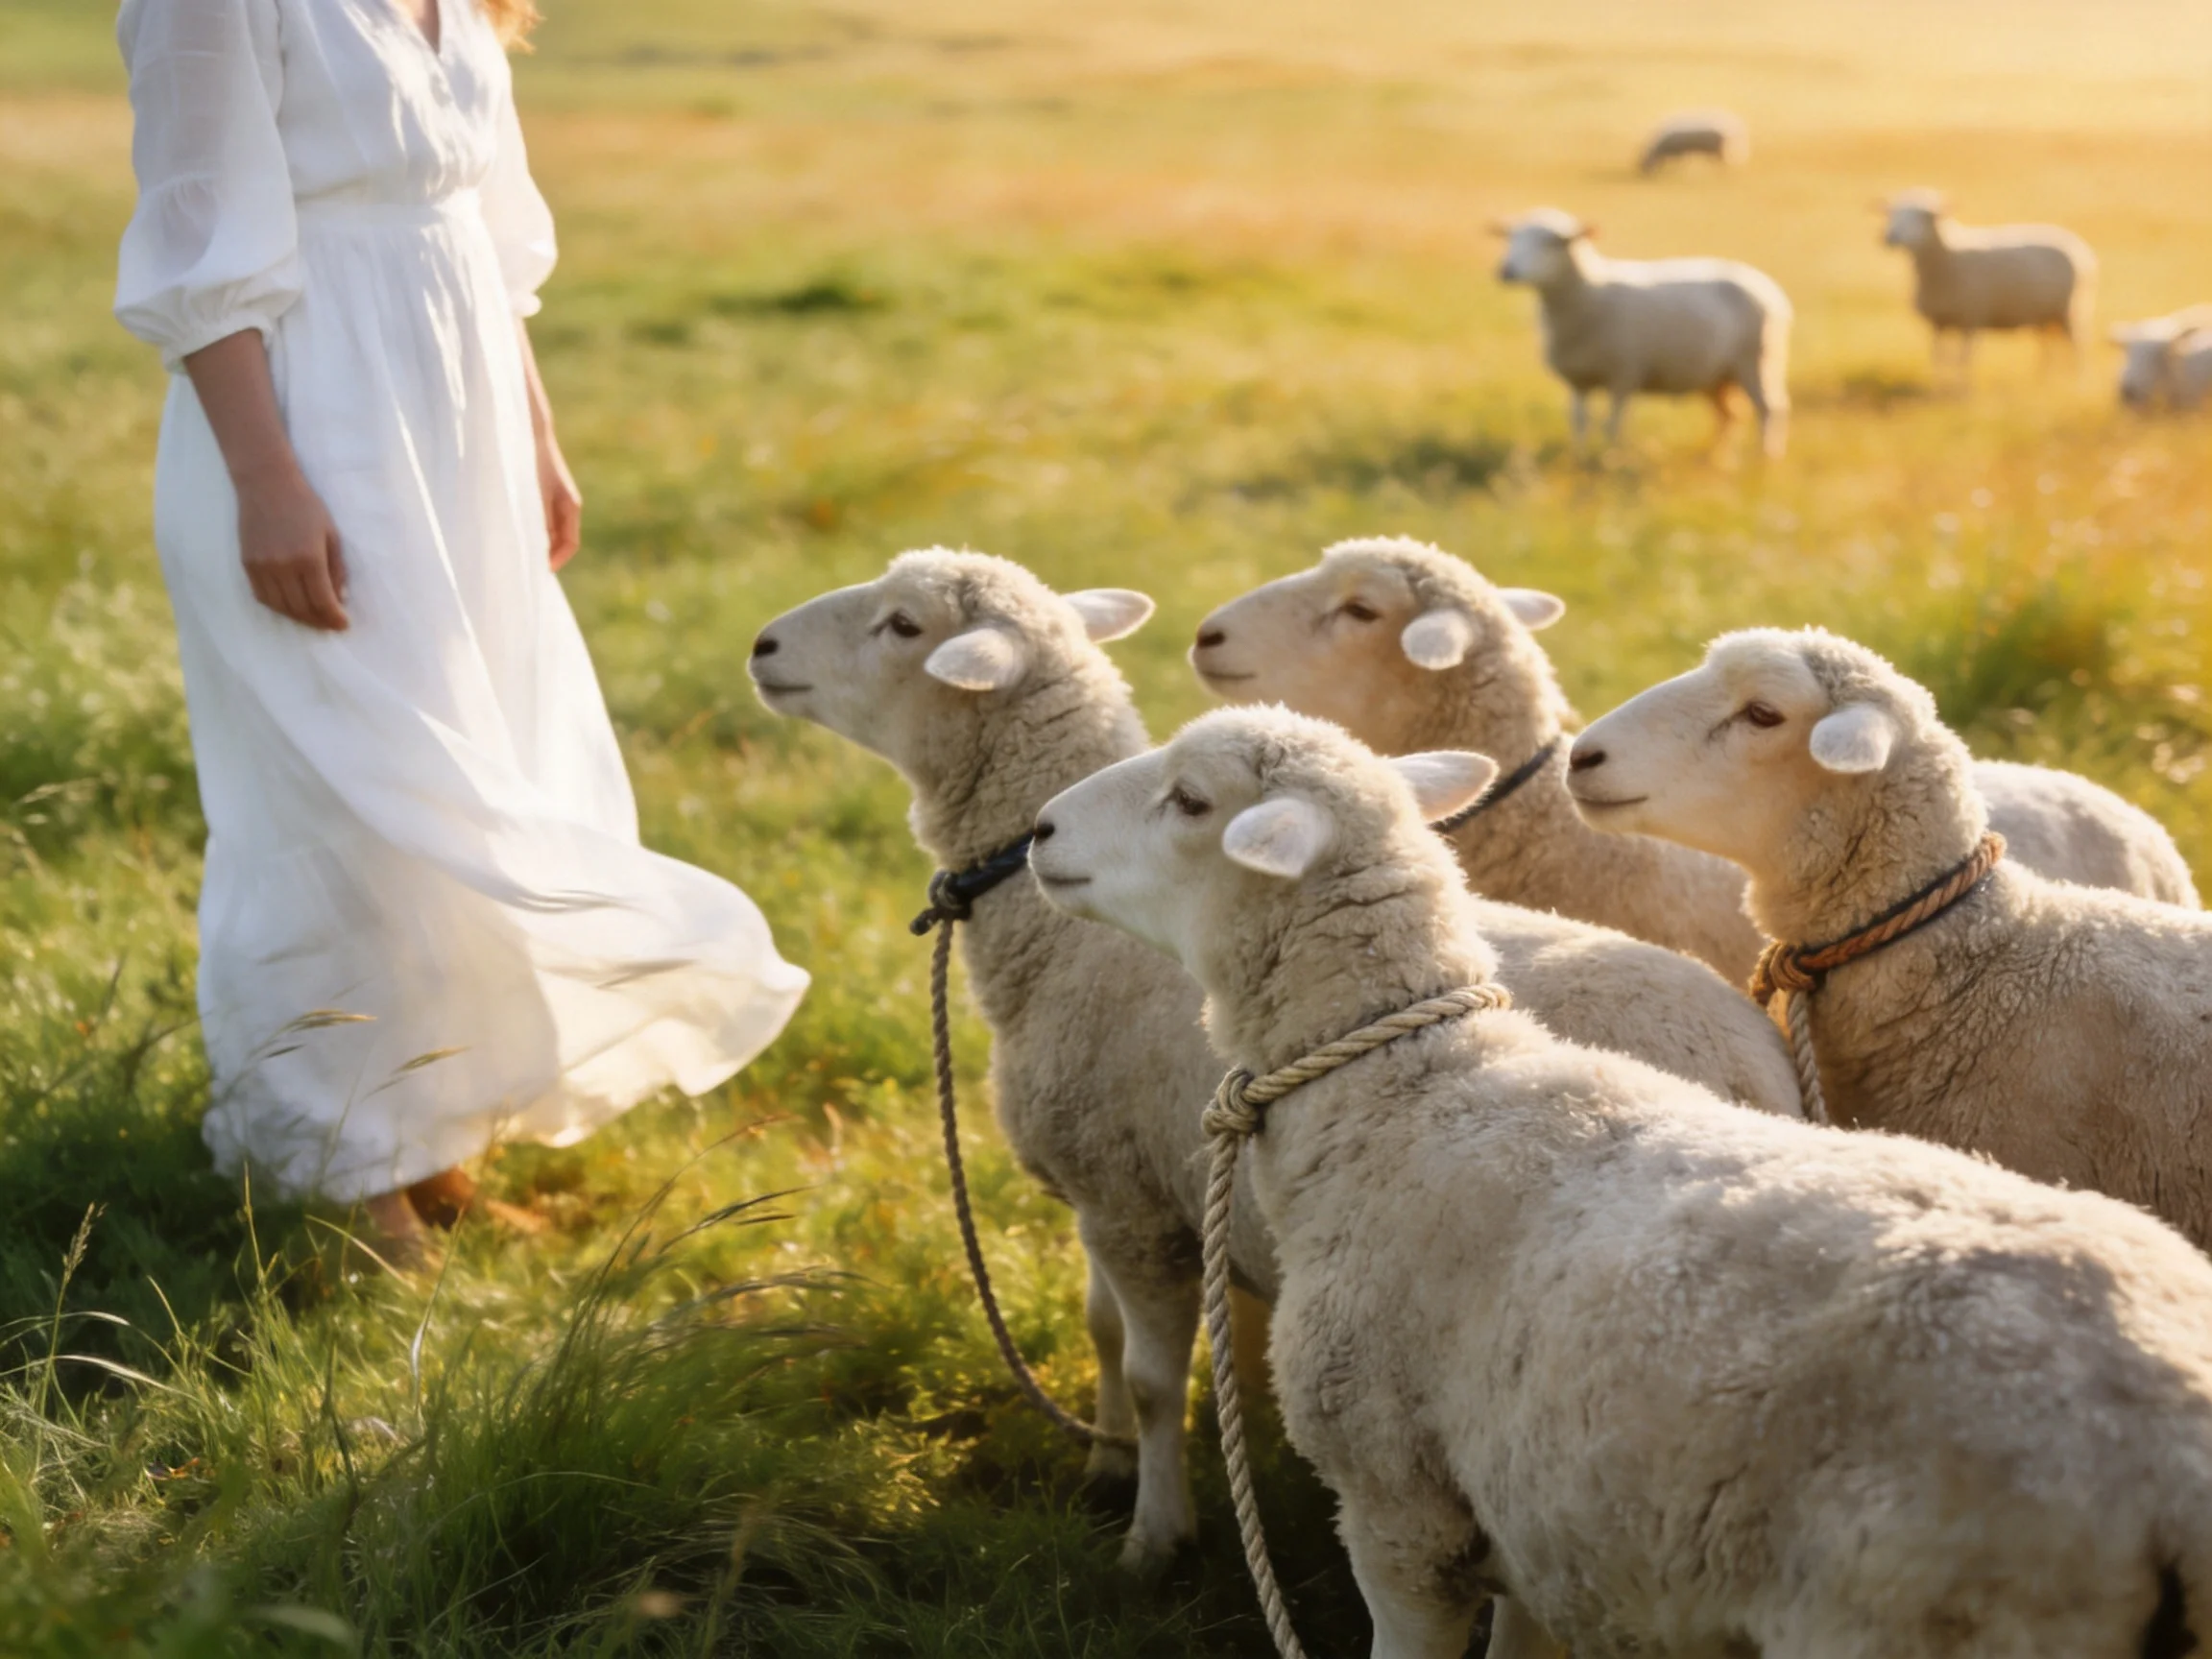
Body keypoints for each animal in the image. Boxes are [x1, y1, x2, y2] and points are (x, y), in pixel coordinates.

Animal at [748, 550, 1803, 1575]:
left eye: (903, 625)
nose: (761, 645)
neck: (1066, 945)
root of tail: (1753, 1062)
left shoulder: (1128, 1201)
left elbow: (1149, 1375)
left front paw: (1153, 1534)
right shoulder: (1120, 1188)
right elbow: (1104, 1329)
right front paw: (1107, 1463)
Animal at [1030, 701, 2212, 1659]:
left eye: (1190, 800)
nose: (1039, 832)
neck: (1404, 1100)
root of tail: (2173, 1445)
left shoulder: (1398, 1518)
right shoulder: (1533, 1528)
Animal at [1493, 207, 1791, 458]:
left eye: (1554, 242)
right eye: (1511, 238)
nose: (1506, 271)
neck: (1591, 292)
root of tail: (1769, 287)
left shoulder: (1623, 374)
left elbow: (1611, 424)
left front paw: (1610, 458)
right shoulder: (1578, 380)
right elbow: (1579, 423)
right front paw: (1579, 458)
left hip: (1758, 360)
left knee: (1769, 409)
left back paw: (1765, 457)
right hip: (1716, 375)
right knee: (1729, 416)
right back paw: (1717, 455)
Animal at [1880, 189, 2096, 379]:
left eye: (1925, 215)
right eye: (1892, 213)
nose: (1890, 237)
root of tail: (2080, 248)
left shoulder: (1971, 318)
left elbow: (1962, 360)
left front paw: (1960, 390)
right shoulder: (1939, 322)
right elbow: (1939, 359)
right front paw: (1938, 385)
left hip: (2070, 311)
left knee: (2078, 347)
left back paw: (2076, 380)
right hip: (2045, 314)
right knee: (2049, 347)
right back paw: (2045, 377)